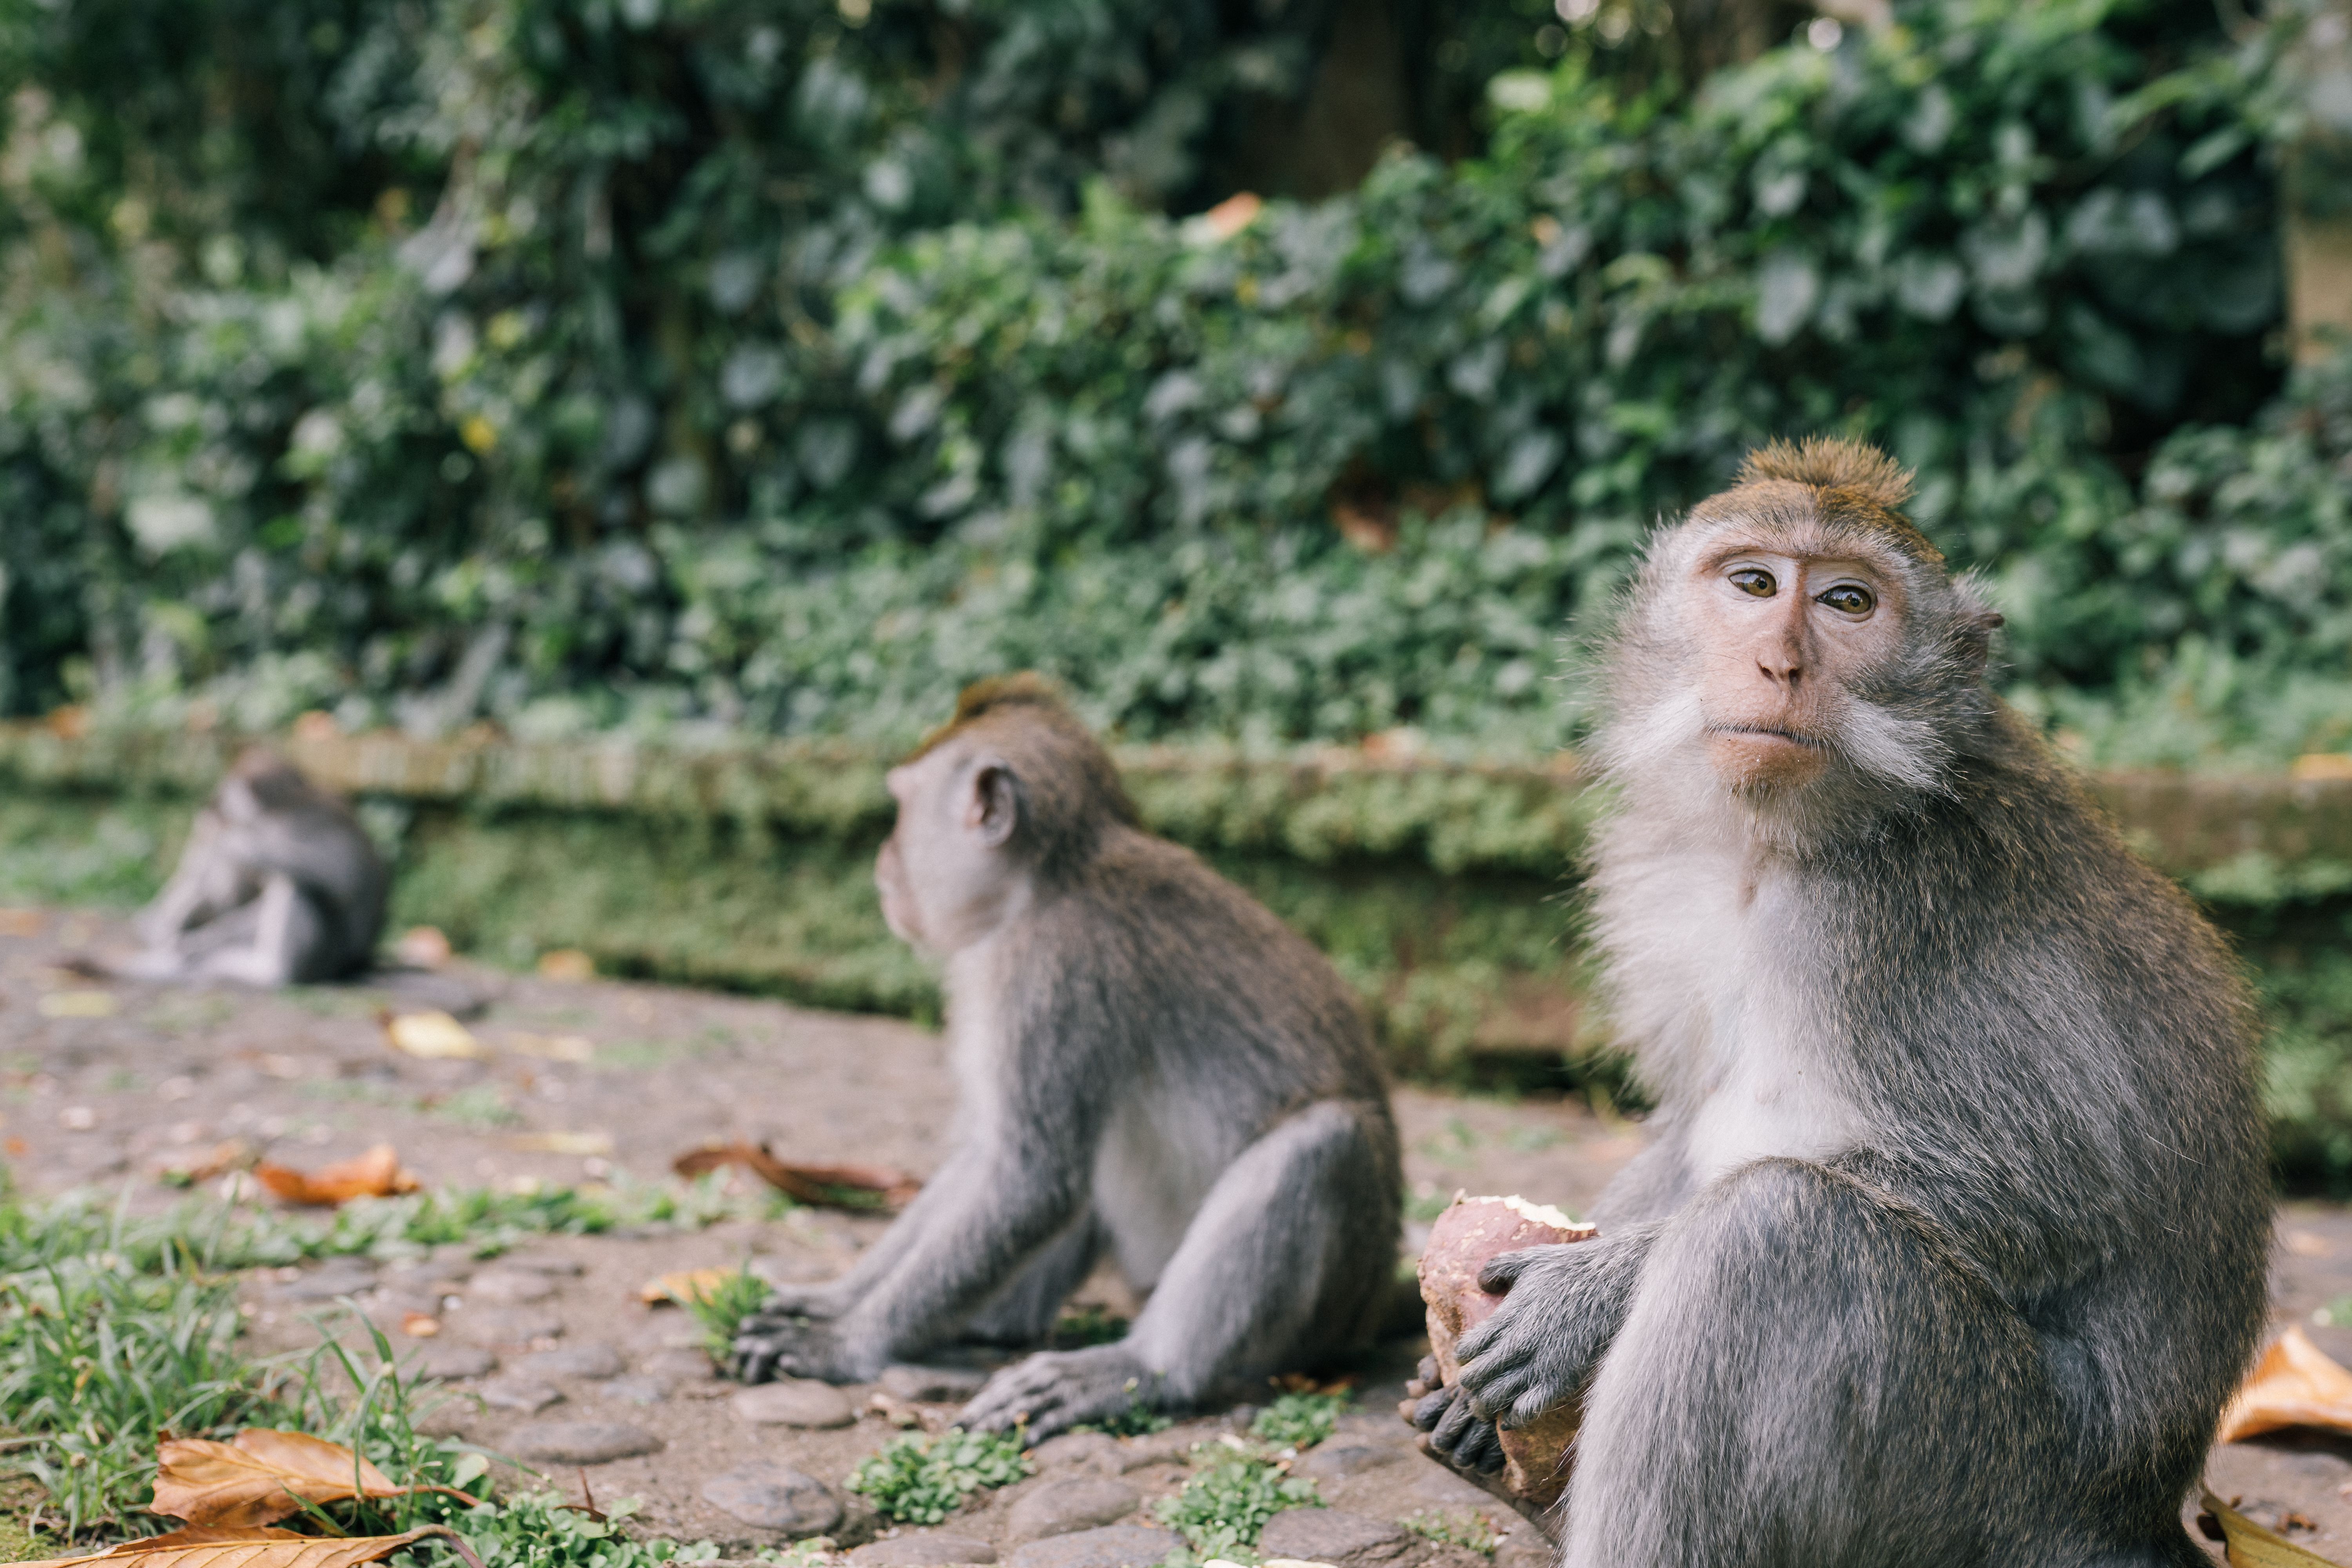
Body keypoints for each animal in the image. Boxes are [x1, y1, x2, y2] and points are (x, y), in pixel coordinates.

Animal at [121, 748, 388, 987]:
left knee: (299, 884)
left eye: (224, 797)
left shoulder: (288, 825)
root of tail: (354, 964)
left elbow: (339, 881)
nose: (211, 806)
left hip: (325, 959)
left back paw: (269, 973)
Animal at [731, 675, 1404, 1438]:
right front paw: (835, 1298)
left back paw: (1140, 1367)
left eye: (901, 808)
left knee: (1324, 1142)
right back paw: (995, 1325)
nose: (881, 859)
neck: (1045, 883)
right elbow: (990, 1160)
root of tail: (1373, 1309)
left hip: (1330, 1302)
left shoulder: (1050, 972)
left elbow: (1030, 1180)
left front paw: (844, 1342)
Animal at [1410, 438, 2269, 1567]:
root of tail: (2135, 1512)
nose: (1781, 665)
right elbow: (1686, 1119)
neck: (1785, 844)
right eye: (1753, 585)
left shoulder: (1904, 912)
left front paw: (1591, 1295)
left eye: (1849, 603)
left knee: (1775, 1234)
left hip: (1995, 1476)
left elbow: (2050, 1191)